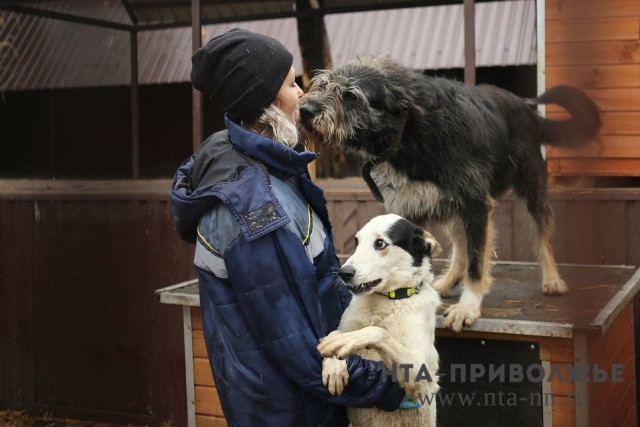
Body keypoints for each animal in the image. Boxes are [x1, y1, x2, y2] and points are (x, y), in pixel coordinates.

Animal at [298, 55, 596, 332]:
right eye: (321, 85)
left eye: (351, 95)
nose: (304, 110)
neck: (409, 132)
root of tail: (526, 107)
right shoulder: (411, 207)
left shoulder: (476, 203)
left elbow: (477, 261)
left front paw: (468, 306)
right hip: (452, 206)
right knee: (461, 244)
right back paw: (450, 279)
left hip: (529, 188)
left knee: (541, 233)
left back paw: (552, 278)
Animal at [318, 216, 442, 426]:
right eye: (356, 242)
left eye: (380, 243)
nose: (343, 273)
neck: (387, 300)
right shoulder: (347, 325)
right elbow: (336, 332)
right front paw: (334, 364)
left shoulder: (422, 375)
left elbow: (377, 331)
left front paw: (345, 341)